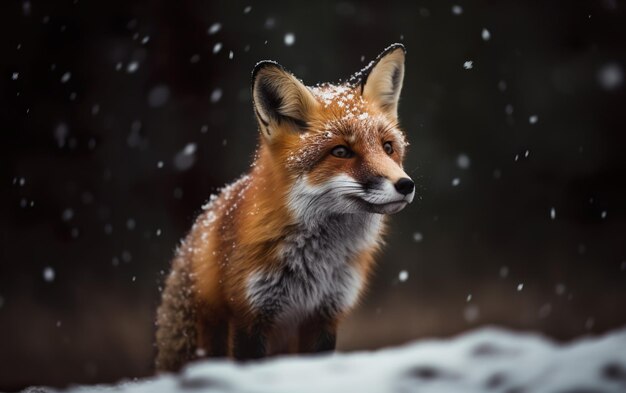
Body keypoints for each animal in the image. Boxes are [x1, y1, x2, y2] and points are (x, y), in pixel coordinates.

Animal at [154, 43, 412, 370]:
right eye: (341, 152)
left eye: (388, 148)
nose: (405, 185)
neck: (316, 264)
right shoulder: (248, 316)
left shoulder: (324, 315)